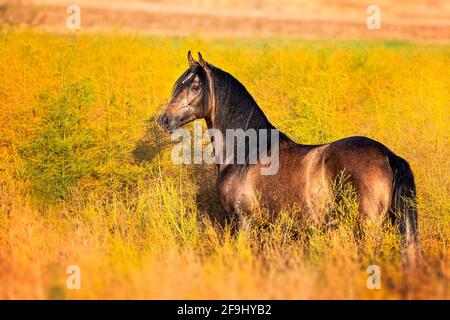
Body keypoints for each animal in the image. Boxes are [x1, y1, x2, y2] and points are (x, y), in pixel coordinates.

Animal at [158, 50, 418, 250]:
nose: (164, 120)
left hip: (368, 227)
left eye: (194, 86)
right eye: (177, 85)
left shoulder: (243, 221)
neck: (245, 152)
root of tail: (388, 155)